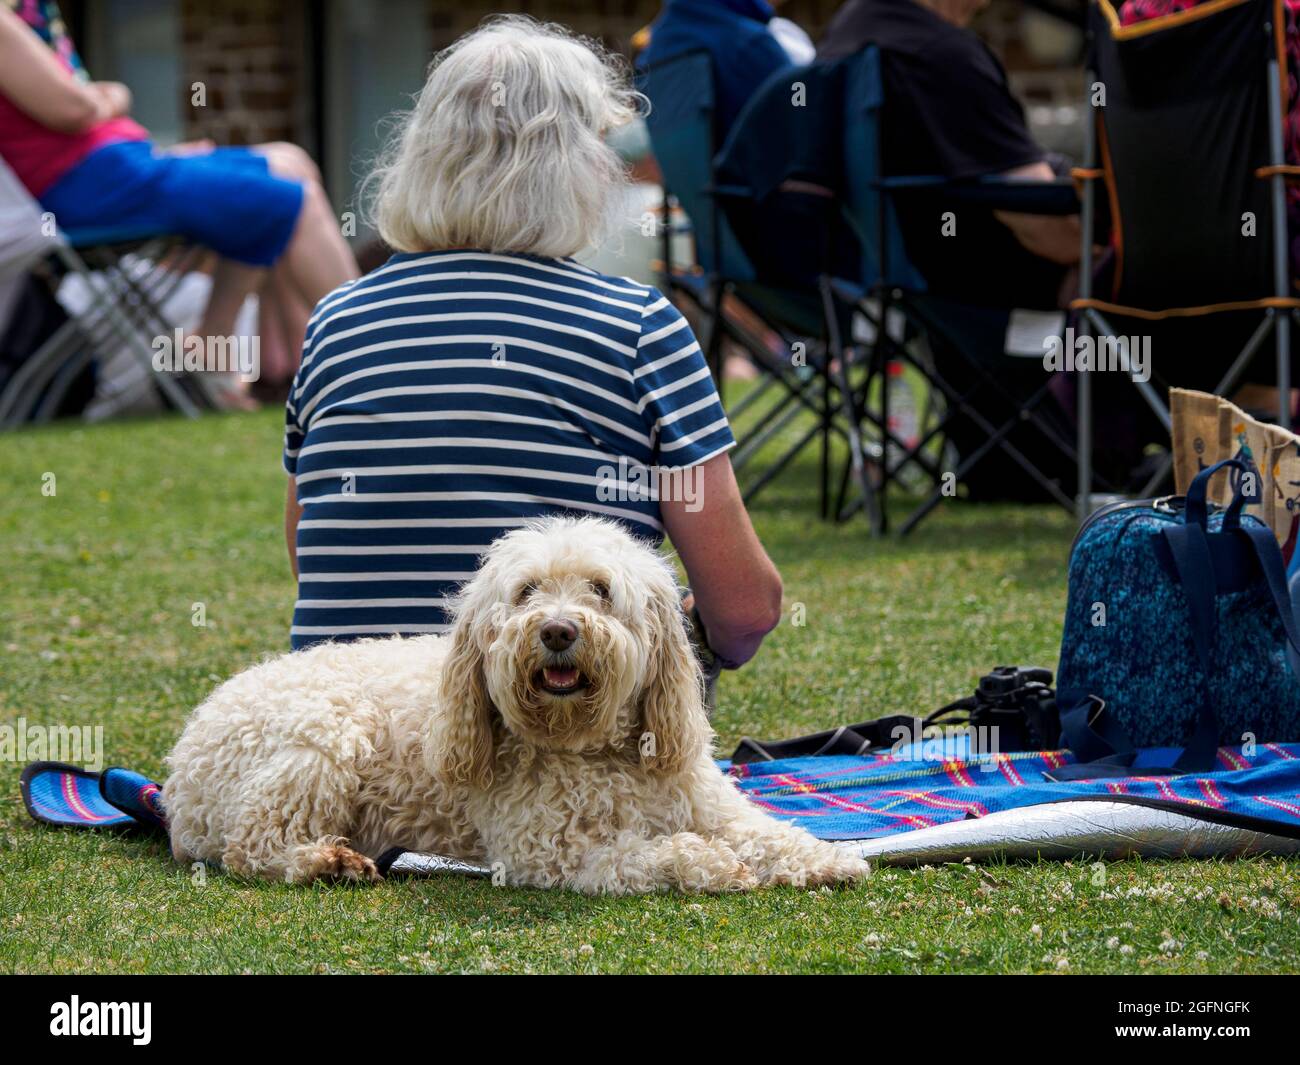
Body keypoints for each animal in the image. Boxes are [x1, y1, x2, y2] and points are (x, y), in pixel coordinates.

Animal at [165, 517, 873, 889]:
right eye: (527, 590)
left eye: (600, 589)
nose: (557, 630)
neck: (597, 748)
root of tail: (179, 770)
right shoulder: (549, 851)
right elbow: (648, 853)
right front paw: (707, 863)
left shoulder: (710, 806)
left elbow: (767, 833)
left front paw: (826, 857)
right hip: (328, 735)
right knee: (250, 847)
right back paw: (325, 859)